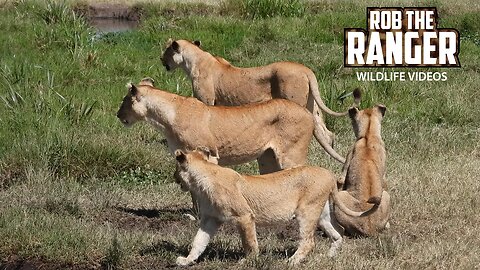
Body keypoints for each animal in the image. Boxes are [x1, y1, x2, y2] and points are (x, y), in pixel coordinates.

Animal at [159, 39, 362, 163]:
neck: (194, 59)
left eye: (166, 50)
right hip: (311, 104)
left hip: (294, 100)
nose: (161, 59)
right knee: (326, 133)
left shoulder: (207, 100)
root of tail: (306, 70)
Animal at [172, 150, 376, 266]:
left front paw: (249, 261)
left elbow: (250, 242)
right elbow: (198, 241)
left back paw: (292, 261)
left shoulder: (244, 216)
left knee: (309, 241)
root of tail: (329, 174)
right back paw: (328, 257)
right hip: (322, 214)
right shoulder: (211, 219)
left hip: (306, 211)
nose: (174, 177)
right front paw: (187, 261)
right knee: (338, 232)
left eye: (176, 169)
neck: (202, 177)